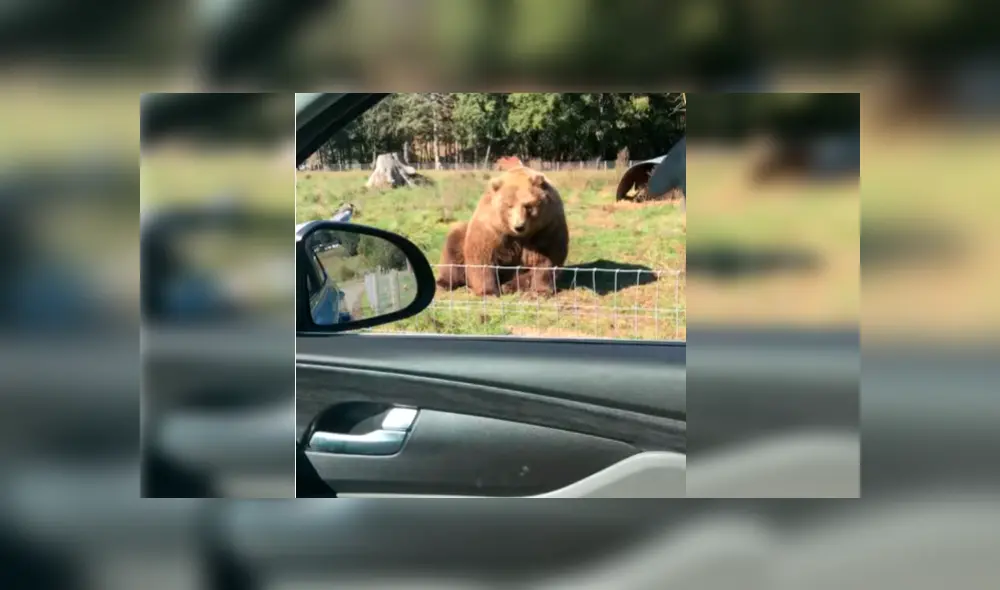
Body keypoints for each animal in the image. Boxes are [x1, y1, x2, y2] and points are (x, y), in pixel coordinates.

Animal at [436, 165, 569, 297]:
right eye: (509, 205)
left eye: (528, 206)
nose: (519, 226)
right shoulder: (492, 226)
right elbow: (482, 254)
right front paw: (488, 292)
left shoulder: (547, 226)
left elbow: (546, 258)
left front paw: (540, 291)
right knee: (453, 247)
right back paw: (444, 284)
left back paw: (509, 286)